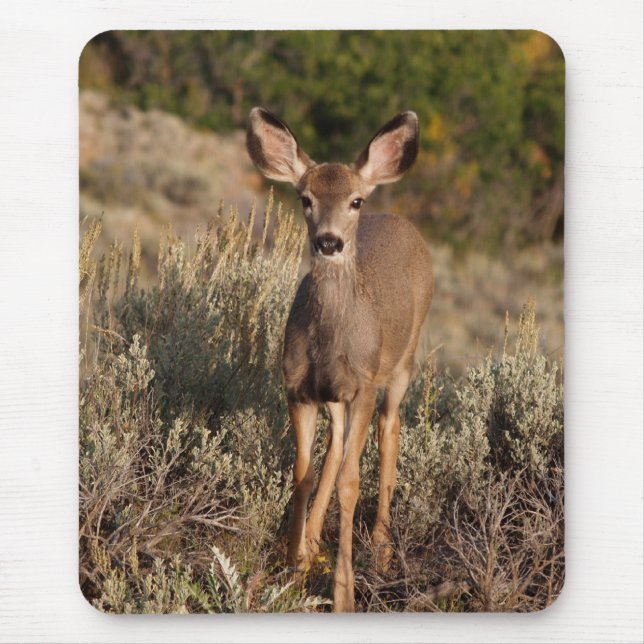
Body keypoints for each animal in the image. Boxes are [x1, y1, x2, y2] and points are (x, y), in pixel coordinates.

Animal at [246, 107, 433, 612]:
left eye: (355, 201)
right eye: (305, 198)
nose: (329, 242)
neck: (331, 341)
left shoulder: (363, 383)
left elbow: (351, 481)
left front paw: (343, 593)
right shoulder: (297, 387)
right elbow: (303, 473)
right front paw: (293, 567)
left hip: (403, 361)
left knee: (390, 429)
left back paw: (382, 549)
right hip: (335, 394)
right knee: (336, 443)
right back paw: (312, 542)